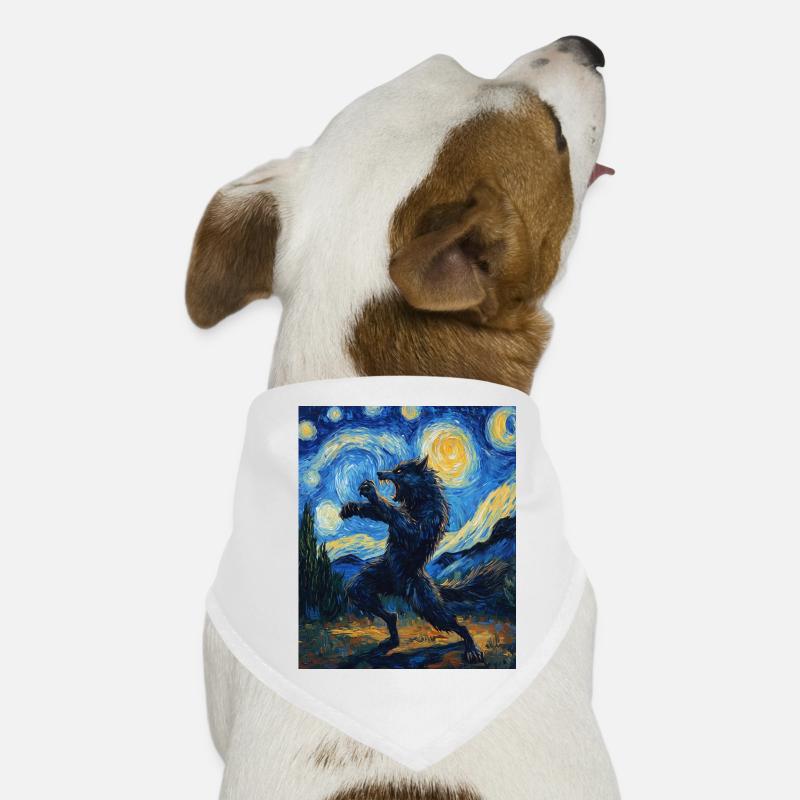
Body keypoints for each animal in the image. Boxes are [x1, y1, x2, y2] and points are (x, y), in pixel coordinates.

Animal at [340, 455, 507, 663]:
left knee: (455, 623)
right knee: (368, 597)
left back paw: (472, 649)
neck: (420, 498)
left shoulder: (424, 522)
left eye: (399, 471)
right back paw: (391, 638)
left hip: (425, 601)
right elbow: (384, 513)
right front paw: (352, 507)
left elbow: (402, 521)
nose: (379, 473)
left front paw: (372, 493)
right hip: (377, 578)